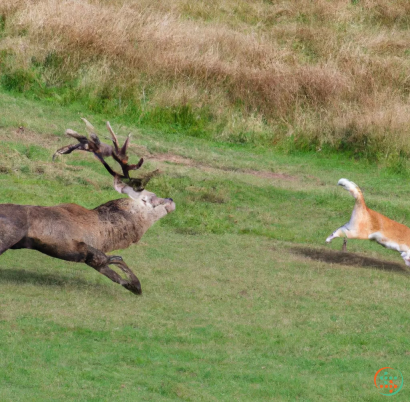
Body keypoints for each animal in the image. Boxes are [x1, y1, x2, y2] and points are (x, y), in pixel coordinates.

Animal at [0, 119, 175, 296]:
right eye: (148, 198)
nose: (171, 199)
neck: (107, 234)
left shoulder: (92, 258)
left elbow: (120, 277)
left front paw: (134, 286)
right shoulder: (83, 250)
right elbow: (117, 259)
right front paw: (132, 281)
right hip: (8, 236)